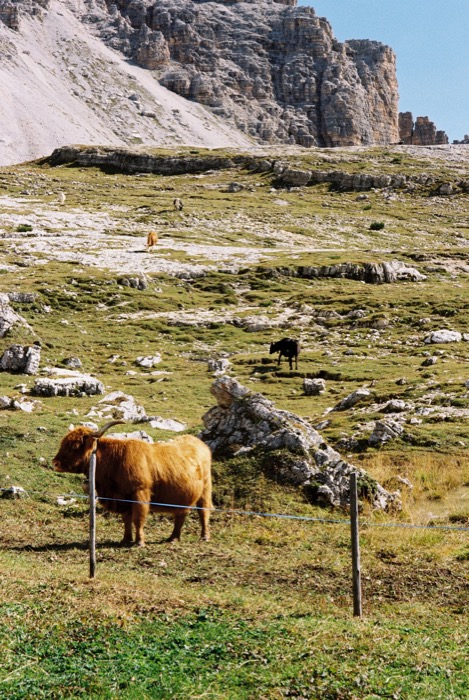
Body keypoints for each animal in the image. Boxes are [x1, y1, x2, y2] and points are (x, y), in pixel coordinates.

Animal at [52, 421, 212, 546]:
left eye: (75, 445)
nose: (55, 463)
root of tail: (198, 442)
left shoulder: (140, 493)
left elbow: (138, 519)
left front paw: (139, 542)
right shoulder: (123, 498)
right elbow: (126, 519)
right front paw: (126, 539)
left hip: (205, 489)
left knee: (203, 511)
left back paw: (204, 536)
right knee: (181, 514)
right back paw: (173, 538)